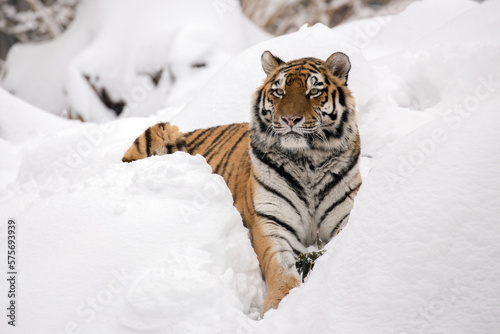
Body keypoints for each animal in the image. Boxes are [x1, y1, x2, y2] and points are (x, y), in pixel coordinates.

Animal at [122, 50, 362, 314]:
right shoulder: (270, 221)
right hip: (160, 130)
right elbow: (280, 264)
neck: (308, 161)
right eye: (279, 91)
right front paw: (281, 300)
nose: (290, 119)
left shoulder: (344, 217)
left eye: (314, 91)